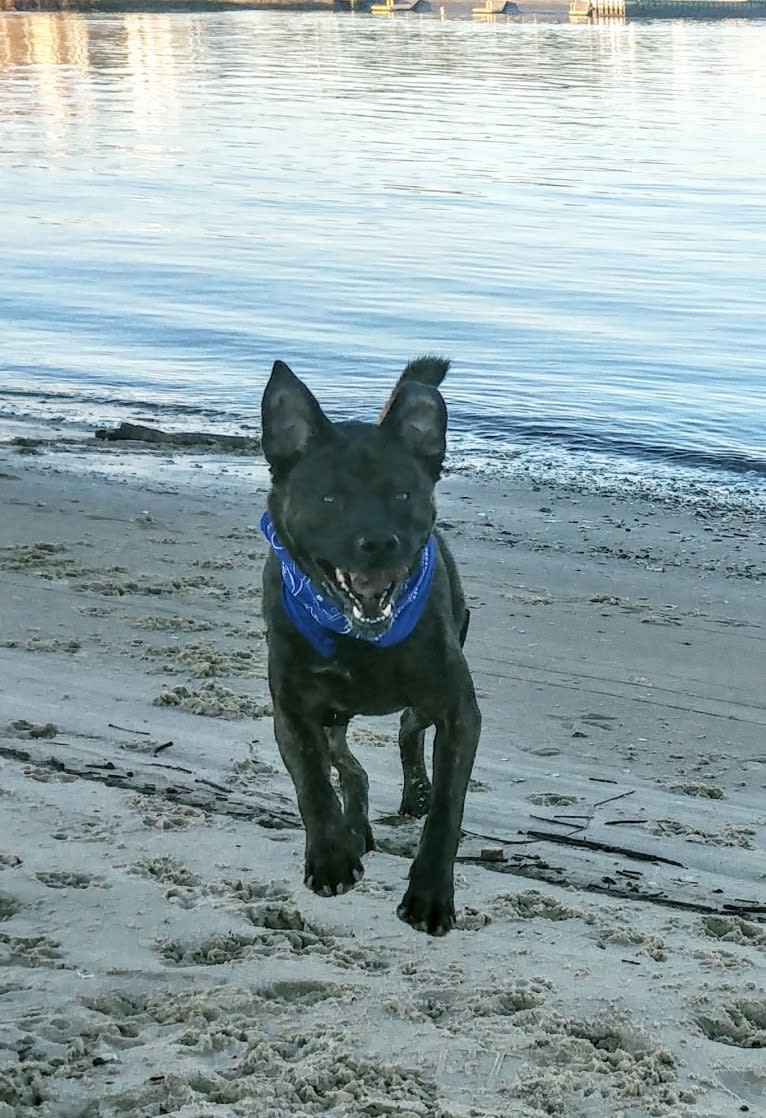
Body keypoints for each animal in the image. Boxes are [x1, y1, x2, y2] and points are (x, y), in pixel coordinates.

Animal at [259, 355, 480, 934]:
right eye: (329, 498)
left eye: (403, 494)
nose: (379, 542)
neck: (362, 640)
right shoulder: (294, 709)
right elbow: (312, 782)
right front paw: (331, 857)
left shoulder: (457, 708)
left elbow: (449, 807)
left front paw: (430, 895)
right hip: (335, 718)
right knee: (349, 766)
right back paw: (354, 829)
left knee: (407, 729)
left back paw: (413, 792)